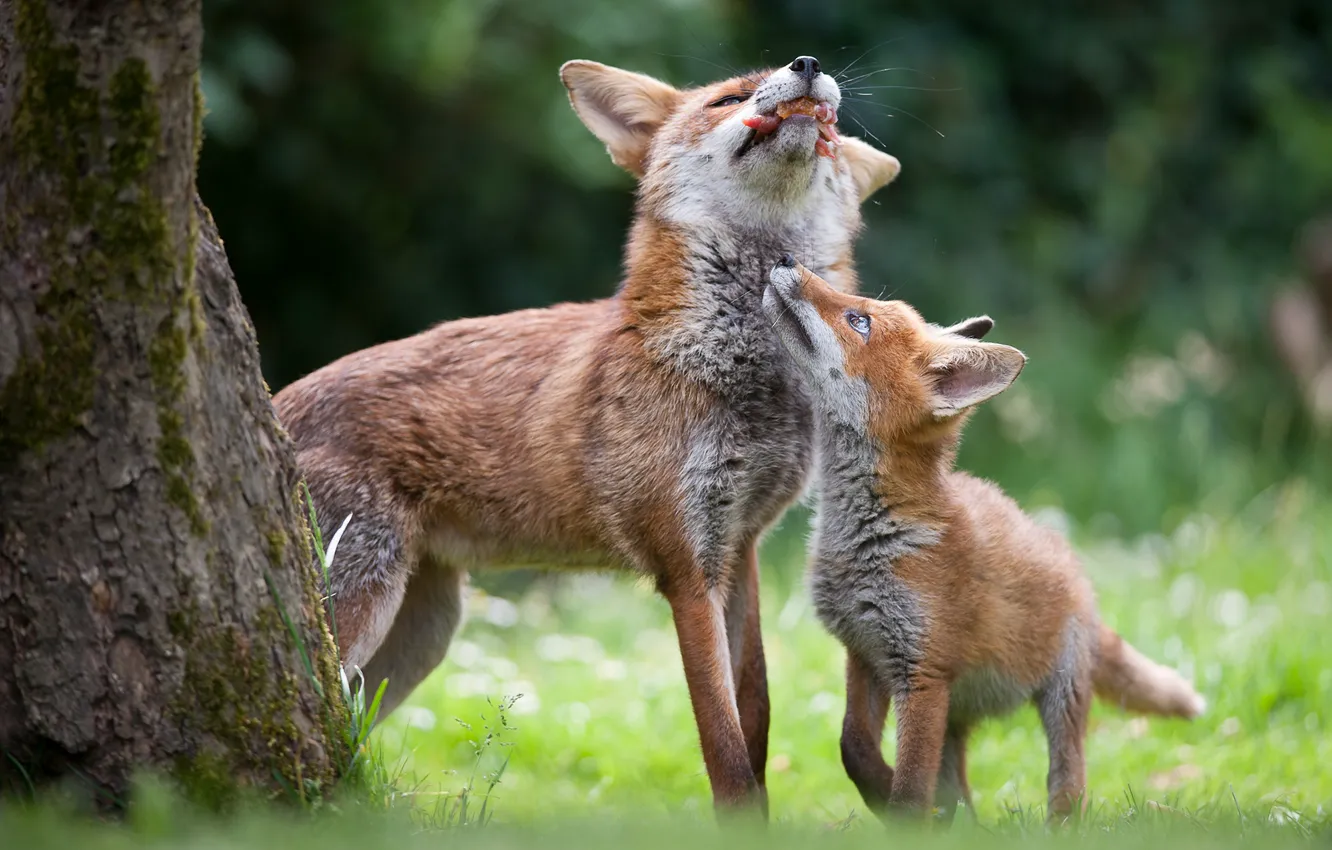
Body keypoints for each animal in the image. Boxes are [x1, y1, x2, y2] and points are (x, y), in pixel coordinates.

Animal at [271, 57, 904, 813]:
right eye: (728, 98)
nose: (807, 66)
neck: (743, 377)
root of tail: (273, 404)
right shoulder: (684, 568)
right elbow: (725, 753)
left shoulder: (739, 546)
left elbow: (755, 715)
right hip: (365, 607)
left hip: (420, 636)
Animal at [760, 257, 1205, 822]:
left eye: (859, 320)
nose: (784, 260)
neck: (873, 540)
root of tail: (1076, 568)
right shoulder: (866, 652)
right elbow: (853, 747)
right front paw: (883, 796)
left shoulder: (921, 673)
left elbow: (911, 789)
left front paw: (904, 816)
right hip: (954, 715)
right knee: (960, 792)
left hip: (1059, 698)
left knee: (1069, 784)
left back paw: (1058, 825)